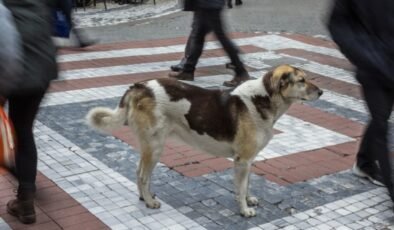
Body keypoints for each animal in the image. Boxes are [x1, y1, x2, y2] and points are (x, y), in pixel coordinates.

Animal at [87, 65, 324, 217]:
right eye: (301, 81)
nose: (322, 91)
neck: (263, 98)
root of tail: (138, 87)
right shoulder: (242, 160)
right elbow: (240, 189)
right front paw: (244, 210)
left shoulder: (248, 161)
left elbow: (247, 186)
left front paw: (248, 200)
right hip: (155, 148)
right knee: (143, 175)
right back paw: (150, 201)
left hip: (149, 146)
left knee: (138, 172)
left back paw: (143, 198)